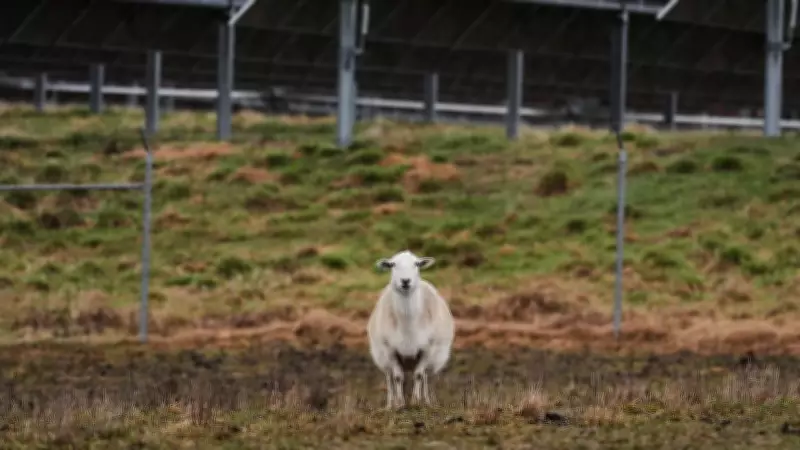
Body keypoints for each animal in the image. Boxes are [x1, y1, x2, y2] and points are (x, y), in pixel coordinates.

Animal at [367, 250, 455, 409]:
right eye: (392, 264)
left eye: (417, 264)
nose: (405, 281)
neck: (408, 325)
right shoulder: (390, 349)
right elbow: (397, 377)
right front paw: (400, 404)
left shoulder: (427, 348)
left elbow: (419, 375)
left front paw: (415, 401)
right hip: (382, 357)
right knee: (390, 379)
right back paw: (390, 404)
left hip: (435, 358)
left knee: (426, 377)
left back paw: (428, 401)